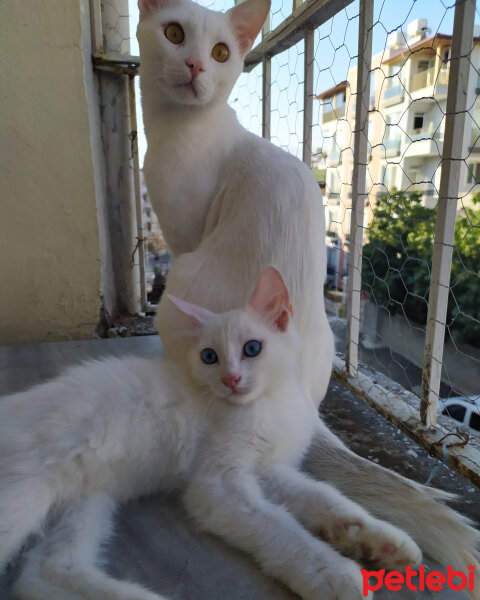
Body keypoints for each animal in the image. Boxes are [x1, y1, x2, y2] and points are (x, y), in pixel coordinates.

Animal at [136, 0, 480, 588]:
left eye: (221, 52)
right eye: (174, 34)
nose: (196, 67)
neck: (176, 128)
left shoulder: (183, 234)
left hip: (183, 273)